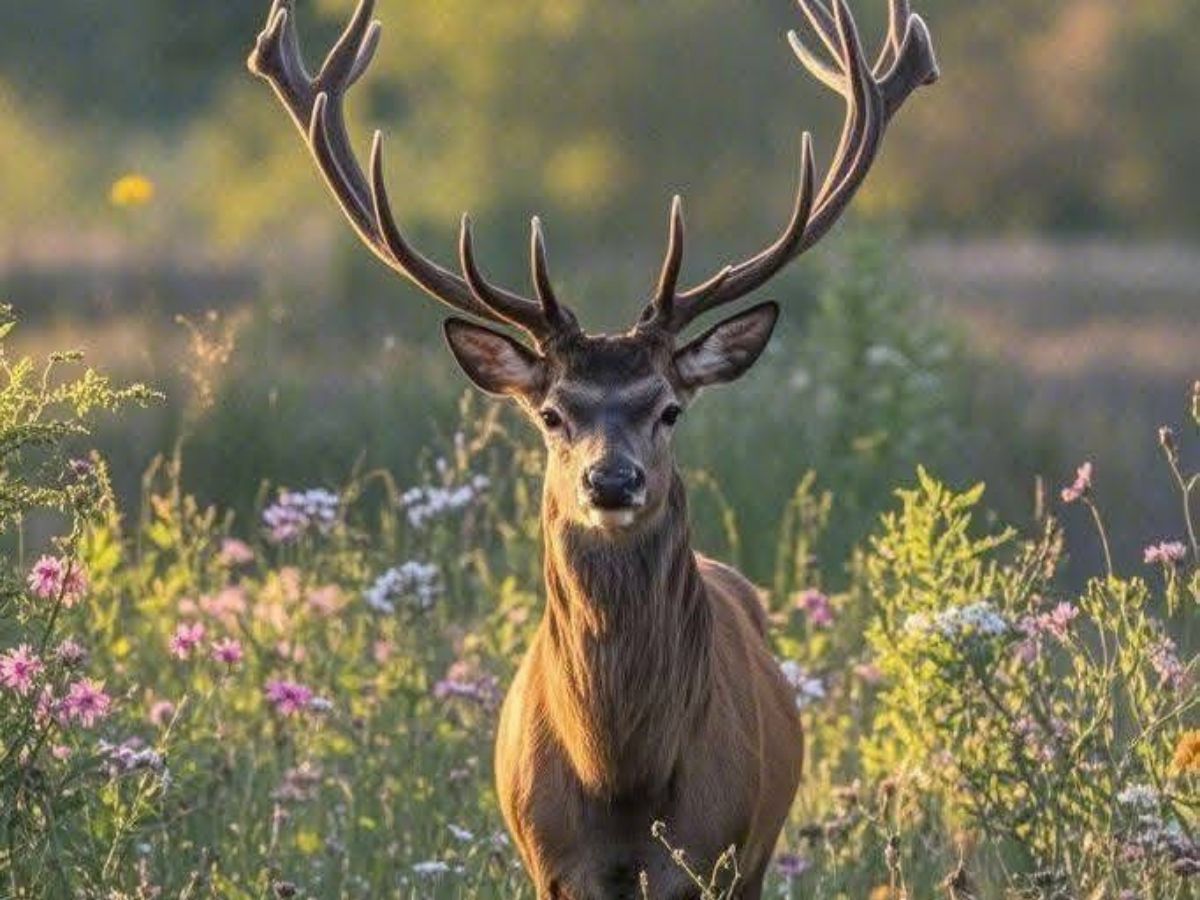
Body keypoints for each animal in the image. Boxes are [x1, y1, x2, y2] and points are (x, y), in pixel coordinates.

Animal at [248, 0, 937, 896]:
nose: (612, 481)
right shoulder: (550, 859)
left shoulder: (711, 853)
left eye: (670, 408)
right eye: (551, 413)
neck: (621, 780)